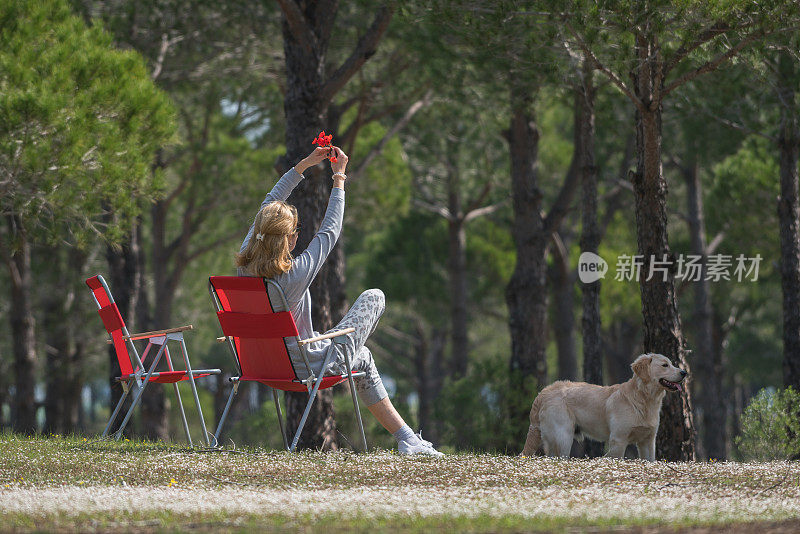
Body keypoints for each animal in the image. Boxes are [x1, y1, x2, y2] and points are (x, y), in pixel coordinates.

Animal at [520, 354, 684, 462]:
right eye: (664, 365)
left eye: (671, 363)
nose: (684, 372)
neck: (643, 399)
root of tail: (543, 392)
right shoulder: (618, 440)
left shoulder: (648, 441)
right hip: (563, 437)